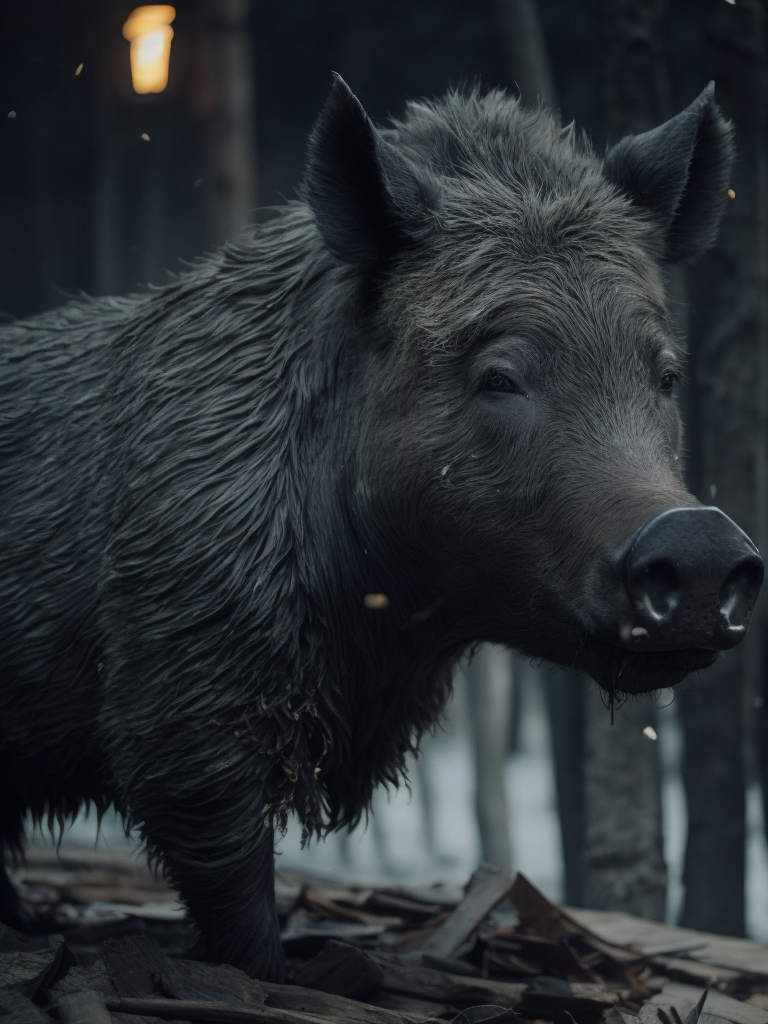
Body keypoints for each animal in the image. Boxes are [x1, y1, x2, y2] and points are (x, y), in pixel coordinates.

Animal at [0, 76, 762, 980]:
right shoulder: (179, 700)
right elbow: (234, 892)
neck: (386, 627)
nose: (700, 542)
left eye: (665, 374)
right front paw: (274, 971)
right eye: (499, 375)